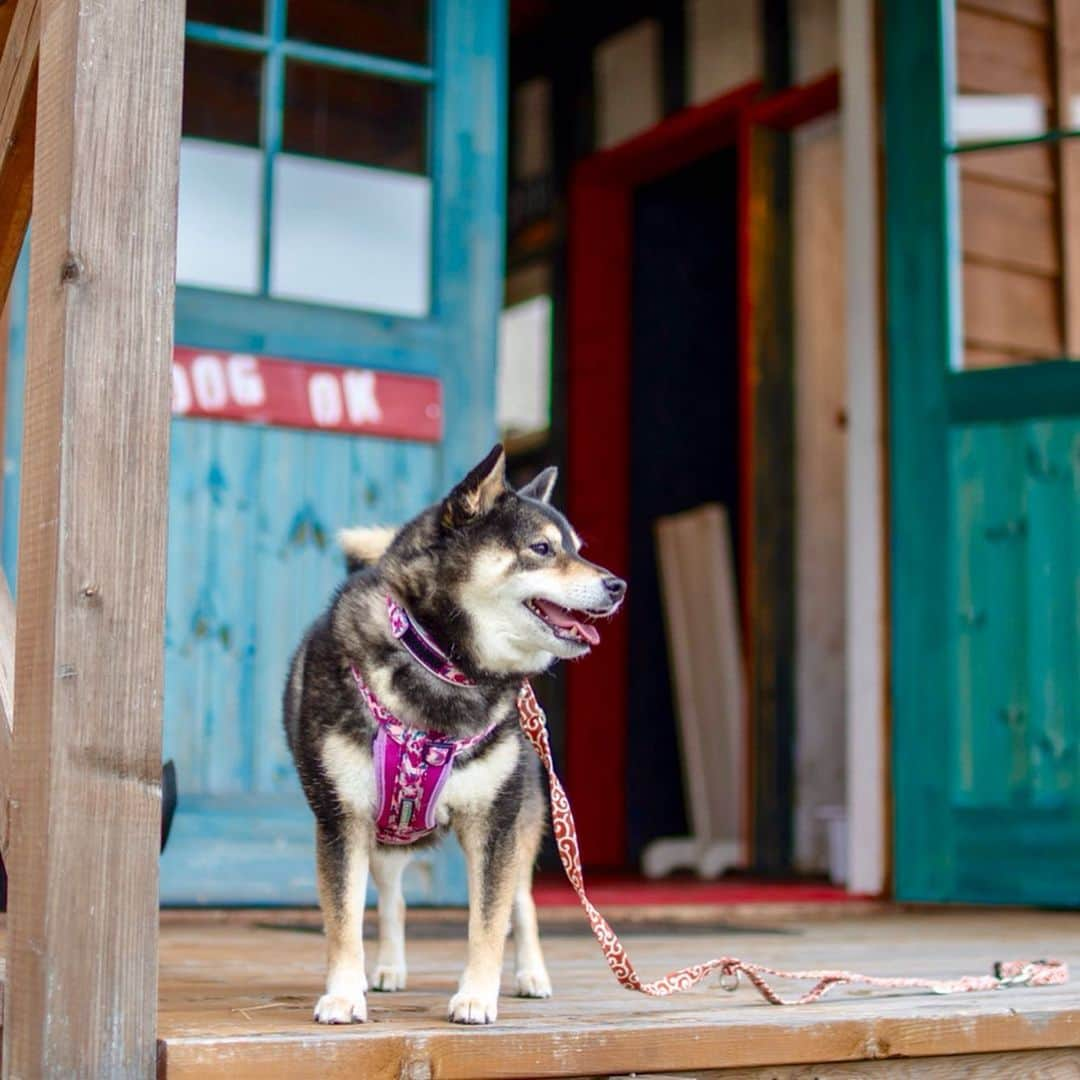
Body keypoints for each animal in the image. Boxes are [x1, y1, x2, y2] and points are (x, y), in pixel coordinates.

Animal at [282, 444, 630, 1019]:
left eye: (578, 550)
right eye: (541, 548)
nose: (618, 585)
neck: (442, 664)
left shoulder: (492, 824)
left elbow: (488, 921)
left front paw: (476, 996)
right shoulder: (341, 818)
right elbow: (344, 921)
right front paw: (344, 994)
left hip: (523, 819)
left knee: (521, 904)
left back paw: (531, 974)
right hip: (383, 838)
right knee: (394, 900)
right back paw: (387, 970)